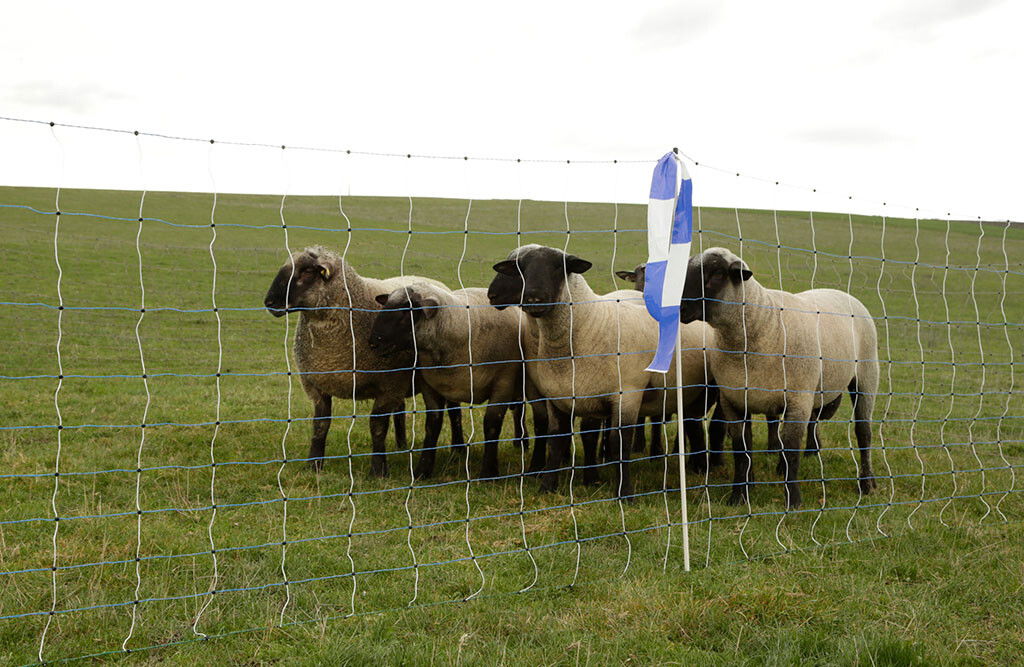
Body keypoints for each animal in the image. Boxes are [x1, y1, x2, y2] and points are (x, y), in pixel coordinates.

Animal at [262, 247, 458, 477]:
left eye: (307, 272)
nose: (269, 302)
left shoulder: (387, 385)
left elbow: (377, 426)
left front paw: (378, 470)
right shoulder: (317, 385)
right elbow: (320, 425)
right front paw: (314, 465)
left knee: (454, 412)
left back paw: (456, 450)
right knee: (400, 408)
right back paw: (400, 445)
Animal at [364, 282, 548, 479]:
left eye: (407, 312)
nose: (373, 342)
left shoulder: (503, 384)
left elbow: (492, 424)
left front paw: (488, 472)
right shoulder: (431, 386)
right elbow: (433, 425)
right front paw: (423, 470)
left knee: (519, 408)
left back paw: (522, 442)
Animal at [679, 247, 880, 508]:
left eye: (716, 275)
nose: (677, 309)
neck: (763, 323)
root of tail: (841, 292)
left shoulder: (798, 401)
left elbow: (791, 449)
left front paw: (793, 501)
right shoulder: (734, 401)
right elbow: (742, 450)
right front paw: (739, 496)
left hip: (866, 376)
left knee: (863, 432)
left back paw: (867, 483)